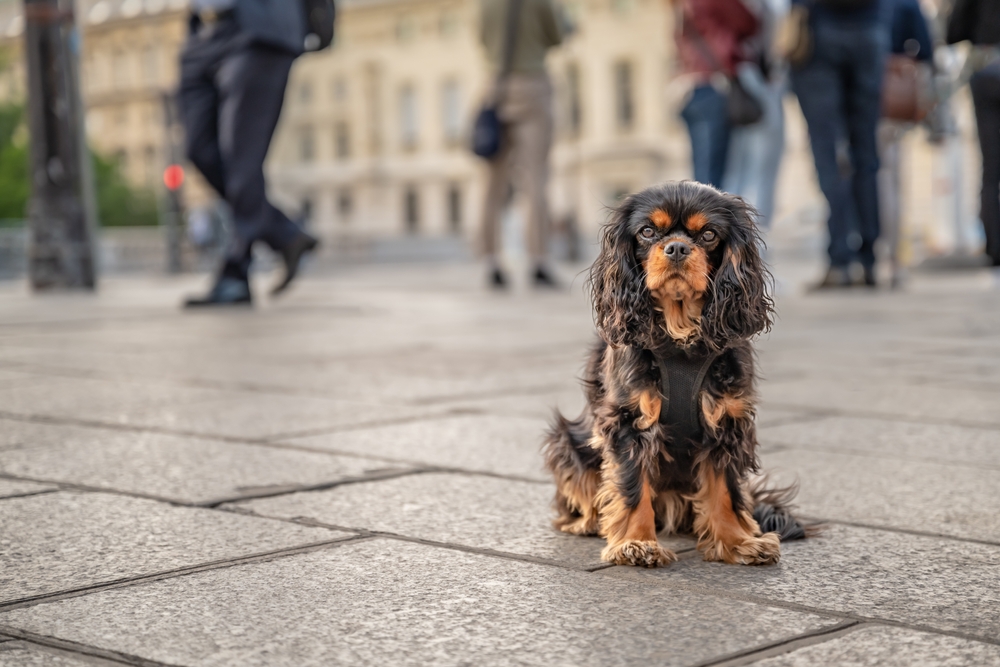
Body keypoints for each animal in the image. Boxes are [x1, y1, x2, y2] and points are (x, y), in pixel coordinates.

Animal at [544, 181, 808, 568]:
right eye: (647, 231)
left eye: (709, 234)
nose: (678, 247)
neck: (680, 335)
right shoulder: (628, 422)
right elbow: (631, 486)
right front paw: (637, 543)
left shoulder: (727, 422)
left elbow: (726, 490)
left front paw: (737, 541)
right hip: (567, 440)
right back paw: (589, 522)